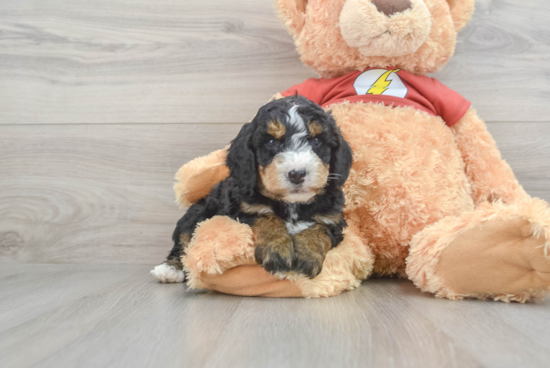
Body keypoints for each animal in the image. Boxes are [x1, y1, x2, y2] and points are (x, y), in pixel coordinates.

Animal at [152, 95, 354, 282]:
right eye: (271, 142)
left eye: (317, 141)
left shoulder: (334, 220)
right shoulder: (242, 209)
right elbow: (266, 218)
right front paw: (277, 251)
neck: (292, 204)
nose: (297, 174)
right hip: (196, 214)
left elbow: (320, 228)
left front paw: (308, 254)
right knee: (183, 242)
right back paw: (169, 269)